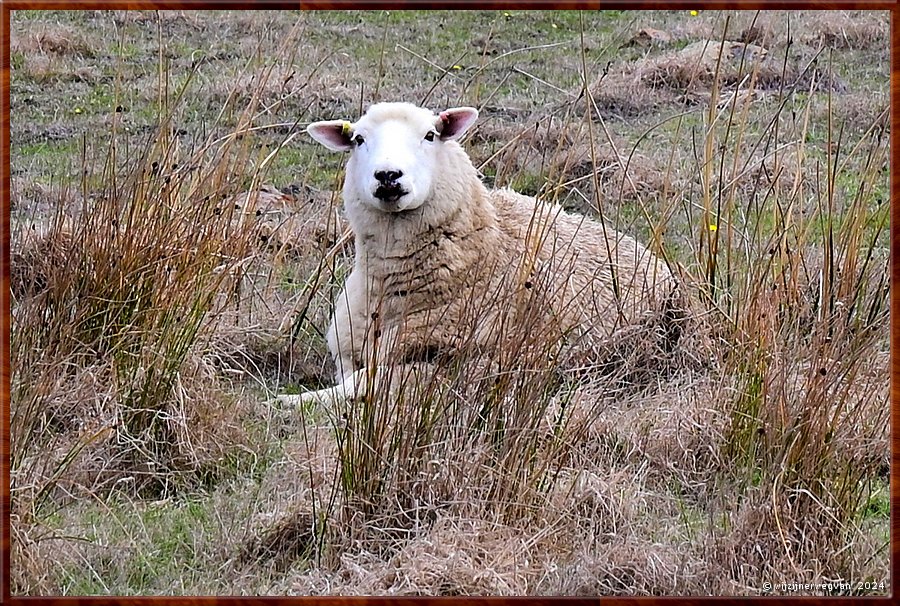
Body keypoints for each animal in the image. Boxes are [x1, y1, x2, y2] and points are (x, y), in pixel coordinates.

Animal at [278, 103, 684, 408]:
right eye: (358, 139)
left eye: (430, 135)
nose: (388, 175)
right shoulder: (350, 346)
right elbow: (354, 375)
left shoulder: (462, 360)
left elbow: (367, 381)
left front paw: (290, 401)